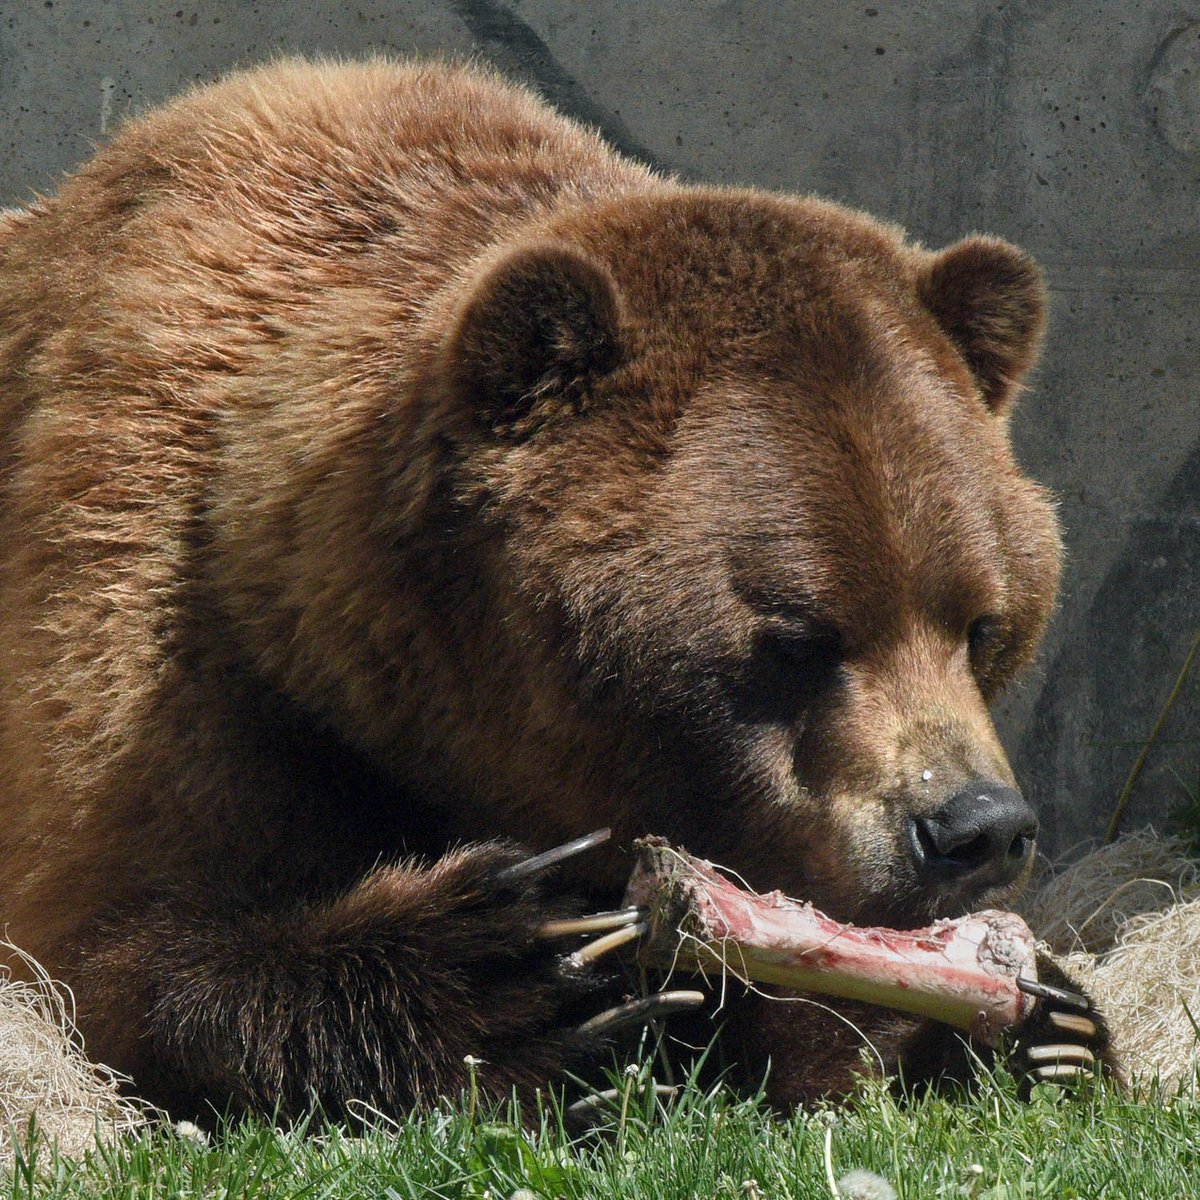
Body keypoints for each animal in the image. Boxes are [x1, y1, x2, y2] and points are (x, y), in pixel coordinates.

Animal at [0, 58, 1108, 1122]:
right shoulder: (149, 603)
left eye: (982, 623)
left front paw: (1047, 1021)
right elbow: (121, 941)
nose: (977, 828)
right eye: (799, 638)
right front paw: (523, 970)